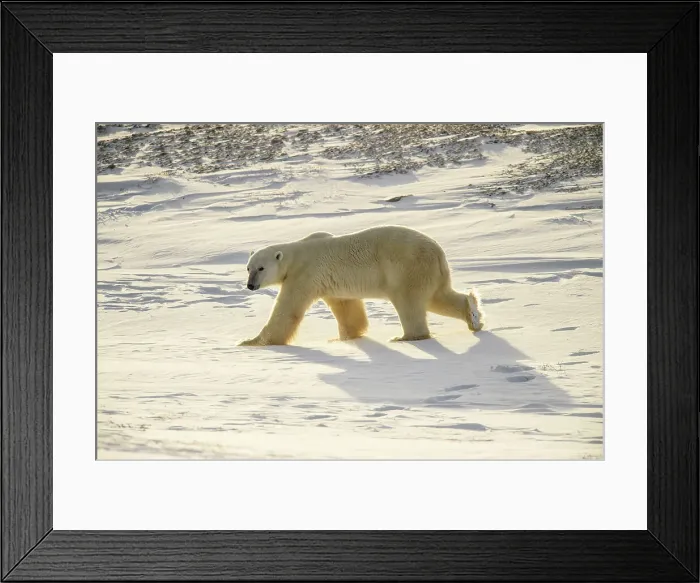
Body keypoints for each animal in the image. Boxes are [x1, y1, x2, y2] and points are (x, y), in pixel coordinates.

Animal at [238, 225, 484, 346]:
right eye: (248, 268)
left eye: (261, 268)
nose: (250, 285)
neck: (295, 256)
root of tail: (438, 252)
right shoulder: (330, 282)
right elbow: (346, 306)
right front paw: (346, 337)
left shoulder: (304, 274)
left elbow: (287, 311)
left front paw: (252, 342)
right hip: (430, 272)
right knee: (438, 297)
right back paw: (472, 314)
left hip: (406, 268)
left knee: (409, 302)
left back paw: (406, 337)